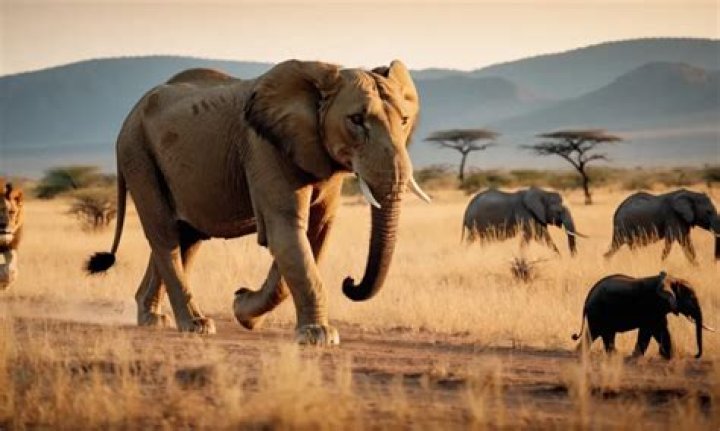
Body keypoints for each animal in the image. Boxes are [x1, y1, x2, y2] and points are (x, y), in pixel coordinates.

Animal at [86, 60, 431, 345]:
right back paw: (196, 326)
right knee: (165, 234)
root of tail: (129, 115)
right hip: (137, 154)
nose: (349, 282)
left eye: (404, 120)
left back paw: (152, 319)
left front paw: (243, 308)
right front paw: (319, 336)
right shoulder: (265, 147)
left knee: (185, 238)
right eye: (356, 119)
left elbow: (315, 234)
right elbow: (287, 231)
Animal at [572, 271, 714, 359]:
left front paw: (669, 356)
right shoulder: (651, 306)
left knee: (601, 334)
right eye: (691, 298)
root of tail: (587, 298)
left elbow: (661, 329)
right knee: (600, 333)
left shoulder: (659, 309)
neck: (671, 279)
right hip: (598, 312)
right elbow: (650, 329)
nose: (695, 355)